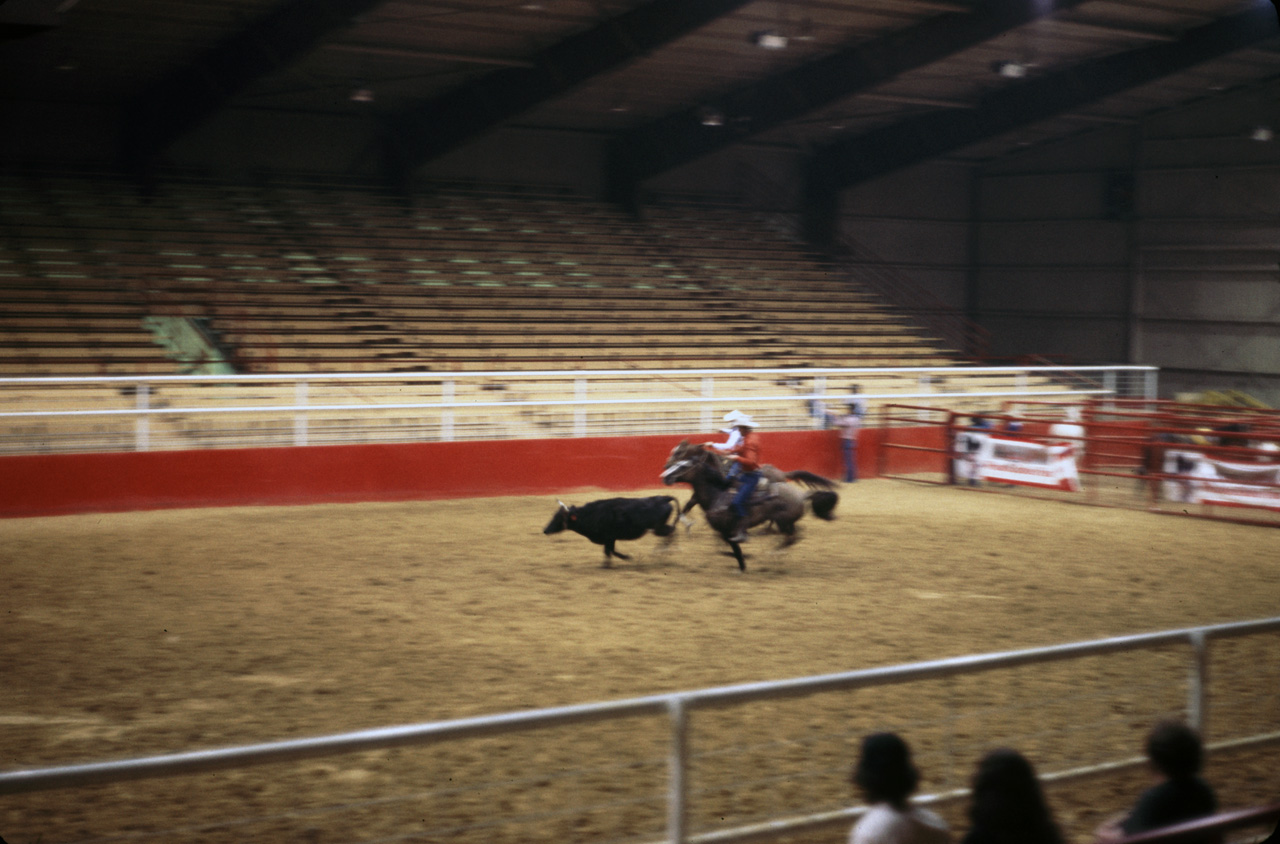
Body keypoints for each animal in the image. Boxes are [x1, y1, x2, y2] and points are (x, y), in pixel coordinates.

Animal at [660, 438, 839, 571]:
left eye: (680, 453)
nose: (665, 468)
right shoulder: (699, 499)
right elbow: (686, 507)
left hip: (783, 520)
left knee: (789, 534)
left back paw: (771, 547)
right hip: (786, 521)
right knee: (793, 534)